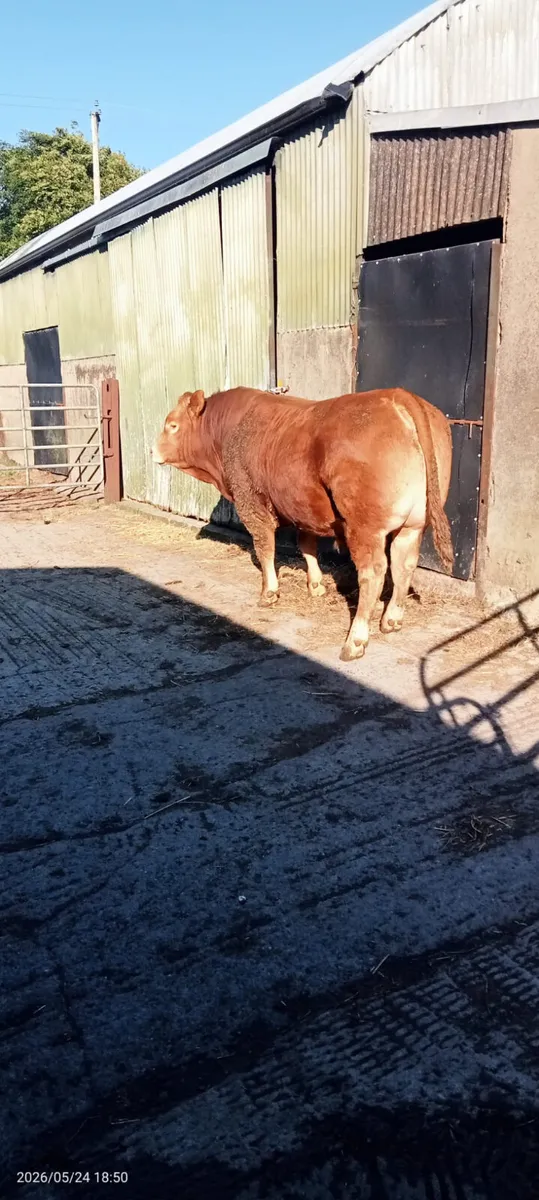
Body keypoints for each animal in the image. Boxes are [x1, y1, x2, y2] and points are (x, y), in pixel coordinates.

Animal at [153, 386, 453, 661]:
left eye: (172, 425)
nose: (152, 450)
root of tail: (396, 395)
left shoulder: (251, 501)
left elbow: (265, 547)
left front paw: (269, 592)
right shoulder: (302, 506)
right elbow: (307, 545)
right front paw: (316, 585)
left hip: (364, 527)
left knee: (374, 573)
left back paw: (355, 641)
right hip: (413, 525)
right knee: (404, 566)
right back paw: (391, 620)